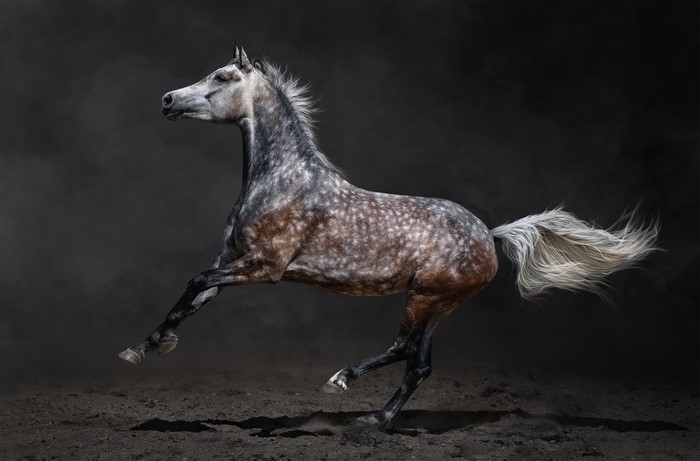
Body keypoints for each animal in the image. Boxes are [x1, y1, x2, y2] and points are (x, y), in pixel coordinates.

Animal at [119, 46, 658, 429]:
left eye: (223, 77)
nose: (167, 100)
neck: (282, 181)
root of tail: (490, 233)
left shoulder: (264, 267)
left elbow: (193, 281)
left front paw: (152, 346)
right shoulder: (231, 260)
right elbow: (192, 296)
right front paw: (145, 346)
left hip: (425, 295)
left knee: (403, 349)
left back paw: (341, 382)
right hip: (443, 304)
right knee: (418, 364)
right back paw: (376, 418)